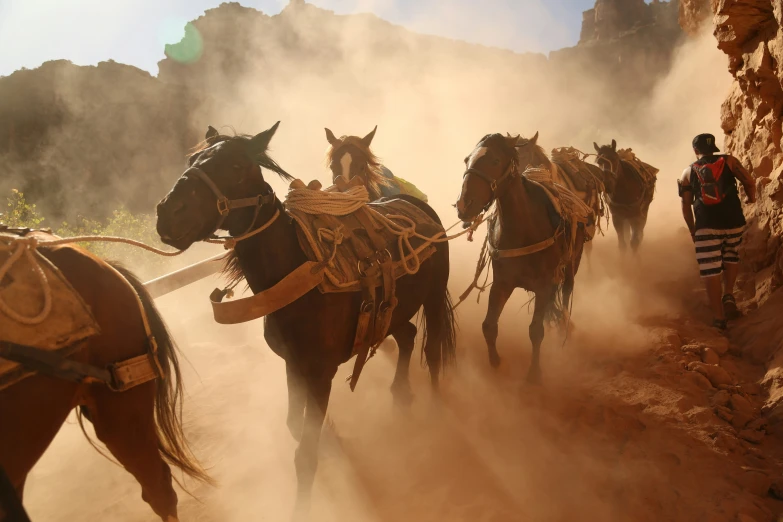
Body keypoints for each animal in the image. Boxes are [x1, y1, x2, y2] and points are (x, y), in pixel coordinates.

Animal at [155, 121, 456, 512]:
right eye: (192, 160)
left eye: (236, 166)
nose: (168, 213)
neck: (298, 274)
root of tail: (419, 207)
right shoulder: (293, 365)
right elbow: (295, 428)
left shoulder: (319, 374)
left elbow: (305, 455)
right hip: (392, 311)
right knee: (406, 336)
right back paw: (401, 393)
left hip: (433, 298)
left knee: (432, 352)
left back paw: (435, 413)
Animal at [454, 132, 588, 380]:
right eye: (467, 159)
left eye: (496, 160)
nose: (464, 205)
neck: (524, 227)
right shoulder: (501, 284)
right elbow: (489, 325)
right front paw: (497, 363)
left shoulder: (544, 284)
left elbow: (535, 331)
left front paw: (534, 374)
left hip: (572, 263)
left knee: (566, 292)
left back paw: (565, 326)